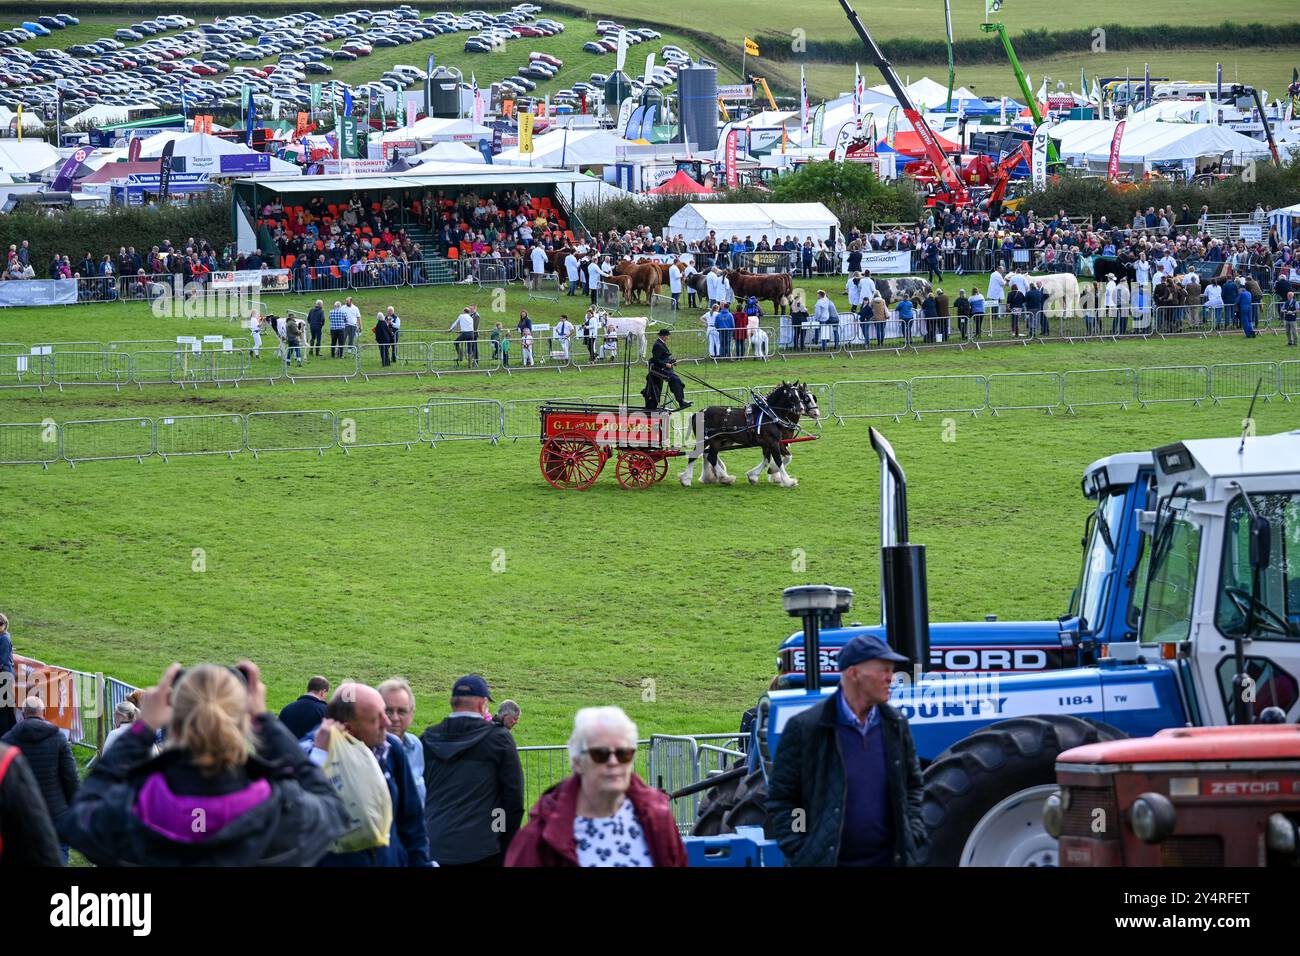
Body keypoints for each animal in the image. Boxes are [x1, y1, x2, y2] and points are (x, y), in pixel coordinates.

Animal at [681, 379, 821, 489]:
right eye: (792, 396)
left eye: (802, 396)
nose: (815, 413)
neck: (770, 414)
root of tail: (698, 412)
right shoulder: (773, 442)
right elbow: (779, 460)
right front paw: (787, 481)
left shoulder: (770, 443)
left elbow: (770, 459)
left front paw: (755, 476)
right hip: (705, 439)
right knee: (696, 456)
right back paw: (687, 480)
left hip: (717, 441)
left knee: (711, 456)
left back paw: (723, 478)